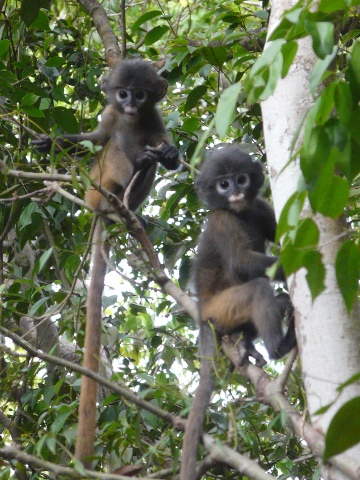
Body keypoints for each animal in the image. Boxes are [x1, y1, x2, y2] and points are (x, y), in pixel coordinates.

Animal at [32, 58, 180, 466]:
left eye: (140, 95)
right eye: (122, 93)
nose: (129, 104)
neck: (131, 119)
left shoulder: (155, 121)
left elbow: (166, 152)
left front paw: (170, 156)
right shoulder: (111, 116)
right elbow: (98, 140)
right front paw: (50, 142)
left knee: (146, 162)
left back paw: (133, 202)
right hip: (96, 186)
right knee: (113, 152)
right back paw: (123, 191)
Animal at [180, 145, 296, 480]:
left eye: (241, 179)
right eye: (223, 184)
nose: (234, 192)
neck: (239, 212)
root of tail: (202, 311)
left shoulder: (259, 206)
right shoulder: (222, 220)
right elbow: (243, 264)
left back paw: (245, 342)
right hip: (224, 307)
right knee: (258, 287)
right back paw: (279, 347)